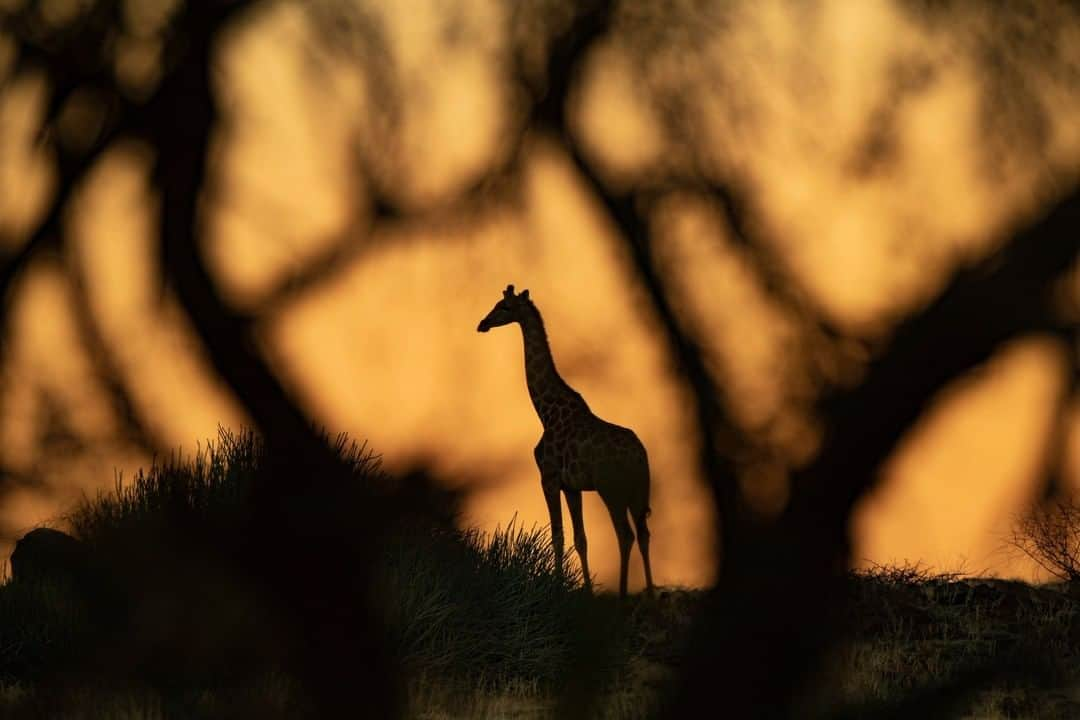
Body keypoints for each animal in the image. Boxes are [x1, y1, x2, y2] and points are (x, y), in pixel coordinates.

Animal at [477, 284, 652, 600]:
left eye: (504, 306)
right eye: (496, 304)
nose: (482, 324)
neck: (546, 412)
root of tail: (640, 457)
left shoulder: (548, 477)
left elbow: (557, 534)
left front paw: (557, 588)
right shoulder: (572, 486)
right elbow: (580, 537)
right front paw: (586, 591)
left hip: (612, 488)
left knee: (625, 533)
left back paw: (623, 595)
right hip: (639, 489)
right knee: (644, 533)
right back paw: (652, 593)